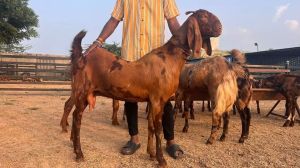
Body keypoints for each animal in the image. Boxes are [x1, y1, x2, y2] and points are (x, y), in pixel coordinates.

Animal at [68, 9, 223, 167]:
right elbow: (158, 129)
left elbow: (151, 127)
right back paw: (79, 153)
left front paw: (152, 154)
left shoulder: (153, 100)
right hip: (81, 91)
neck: (170, 56)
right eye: (203, 16)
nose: (220, 27)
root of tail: (81, 57)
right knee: (76, 118)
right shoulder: (158, 100)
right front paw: (161, 160)